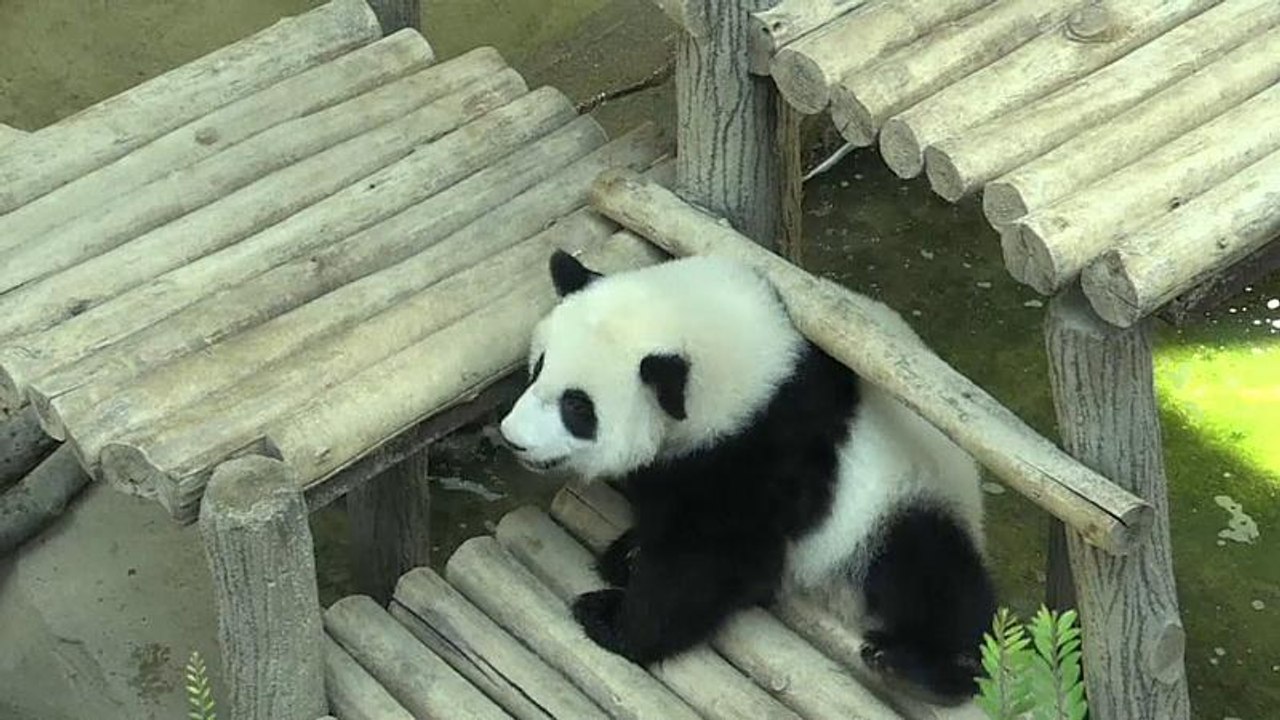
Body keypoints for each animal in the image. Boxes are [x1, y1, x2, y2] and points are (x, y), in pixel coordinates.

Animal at [499, 249, 996, 703]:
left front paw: (613, 620)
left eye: (577, 407)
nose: (513, 438)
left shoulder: (769, 451)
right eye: (537, 368)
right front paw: (630, 553)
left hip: (899, 500)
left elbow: (715, 559)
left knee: (932, 579)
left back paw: (917, 667)